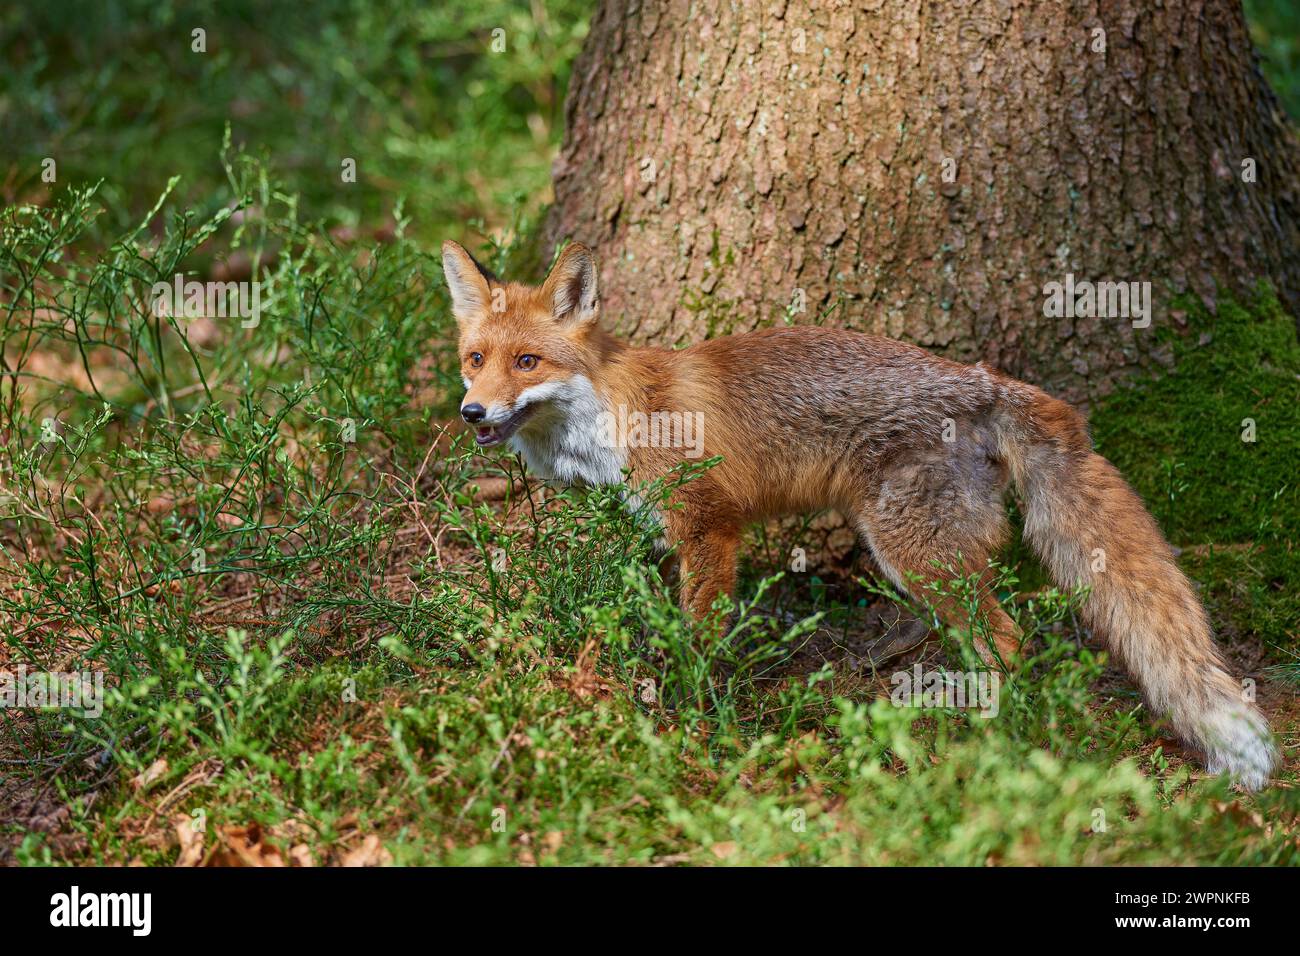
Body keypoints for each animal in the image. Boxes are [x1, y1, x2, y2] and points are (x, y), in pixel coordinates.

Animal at [441, 240, 1274, 790]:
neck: (617, 412)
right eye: (475, 360)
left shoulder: (709, 523)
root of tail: (987, 381)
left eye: (527, 363)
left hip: (912, 553)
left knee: (1009, 640)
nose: (471, 412)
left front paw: (690, 702)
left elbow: (702, 632)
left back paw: (991, 739)